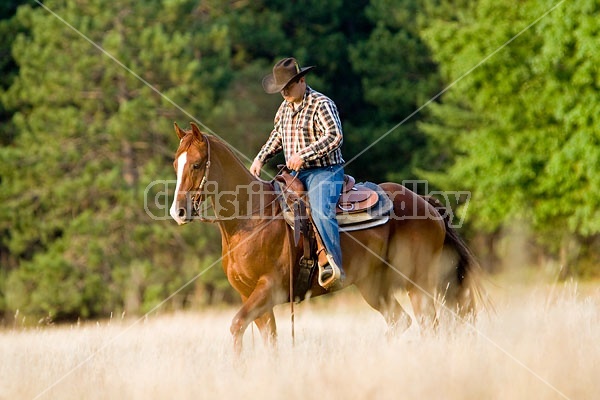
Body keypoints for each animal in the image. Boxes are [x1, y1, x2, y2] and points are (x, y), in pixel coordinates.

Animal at [170, 122, 488, 354]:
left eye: (196, 164)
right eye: (176, 164)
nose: (178, 211)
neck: (250, 220)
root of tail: (425, 204)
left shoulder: (269, 289)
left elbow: (237, 325)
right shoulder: (250, 296)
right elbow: (267, 339)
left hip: (417, 282)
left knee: (428, 324)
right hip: (374, 285)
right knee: (402, 321)